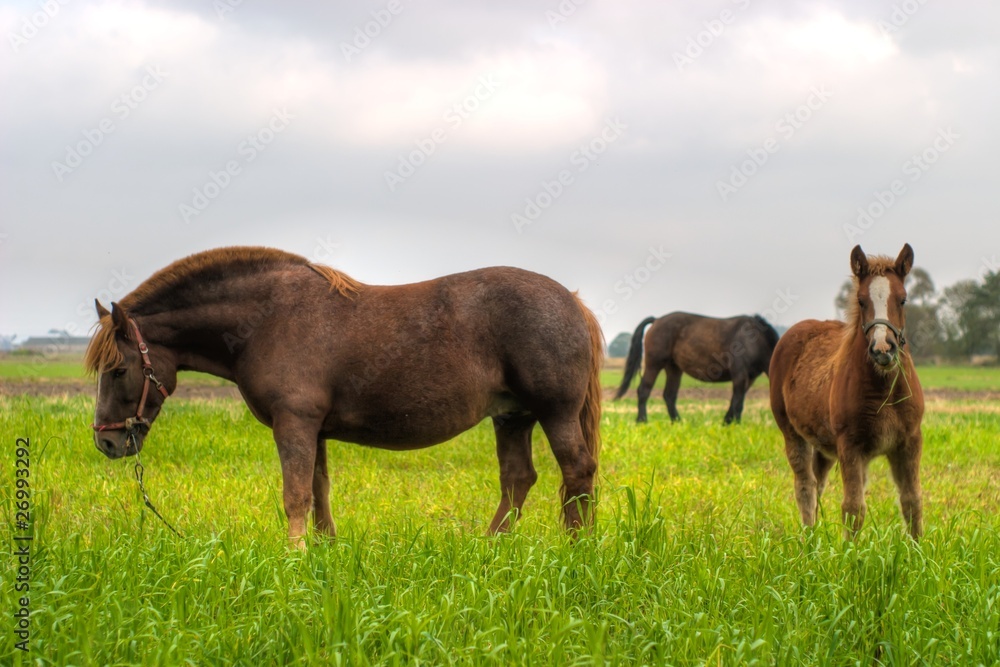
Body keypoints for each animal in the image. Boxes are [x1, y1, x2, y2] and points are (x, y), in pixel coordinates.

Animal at [86, 247, 603, 546]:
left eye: (118, 370)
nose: (106, 442)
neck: (267, 318)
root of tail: (573, 301)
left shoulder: (294, 424)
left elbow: (295, 494)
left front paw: (292, 559)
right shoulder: (313, 429)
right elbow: (318, 490)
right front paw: (323, 551)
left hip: (554, 413)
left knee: (577, 471)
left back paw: (574, 550)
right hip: (512, 416)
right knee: (518, 479)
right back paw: (491, 547)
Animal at [614, 313, 779, 424]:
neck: (755, 341)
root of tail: (657, 320)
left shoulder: (749, 378)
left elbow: (736, 399)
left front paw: (727, 421)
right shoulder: (740, 374)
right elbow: (738, 401)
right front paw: (735, 424)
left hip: (673, 368)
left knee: (669, 395)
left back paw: (677, 421)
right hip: (654, 364)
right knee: (644, 390)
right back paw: (642, 420)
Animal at [769, 244, 924, 539]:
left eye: (903, 299)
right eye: (861, 301)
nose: (883, 349)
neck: (884, 391)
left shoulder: (909, 441)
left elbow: (912, 502)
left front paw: (920, 550)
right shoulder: (850, 445)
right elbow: (853, 508)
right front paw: (850, 551)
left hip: (823, 444)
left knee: (817, 484)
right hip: (792, 433)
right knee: (805, 487)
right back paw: (808, 541)